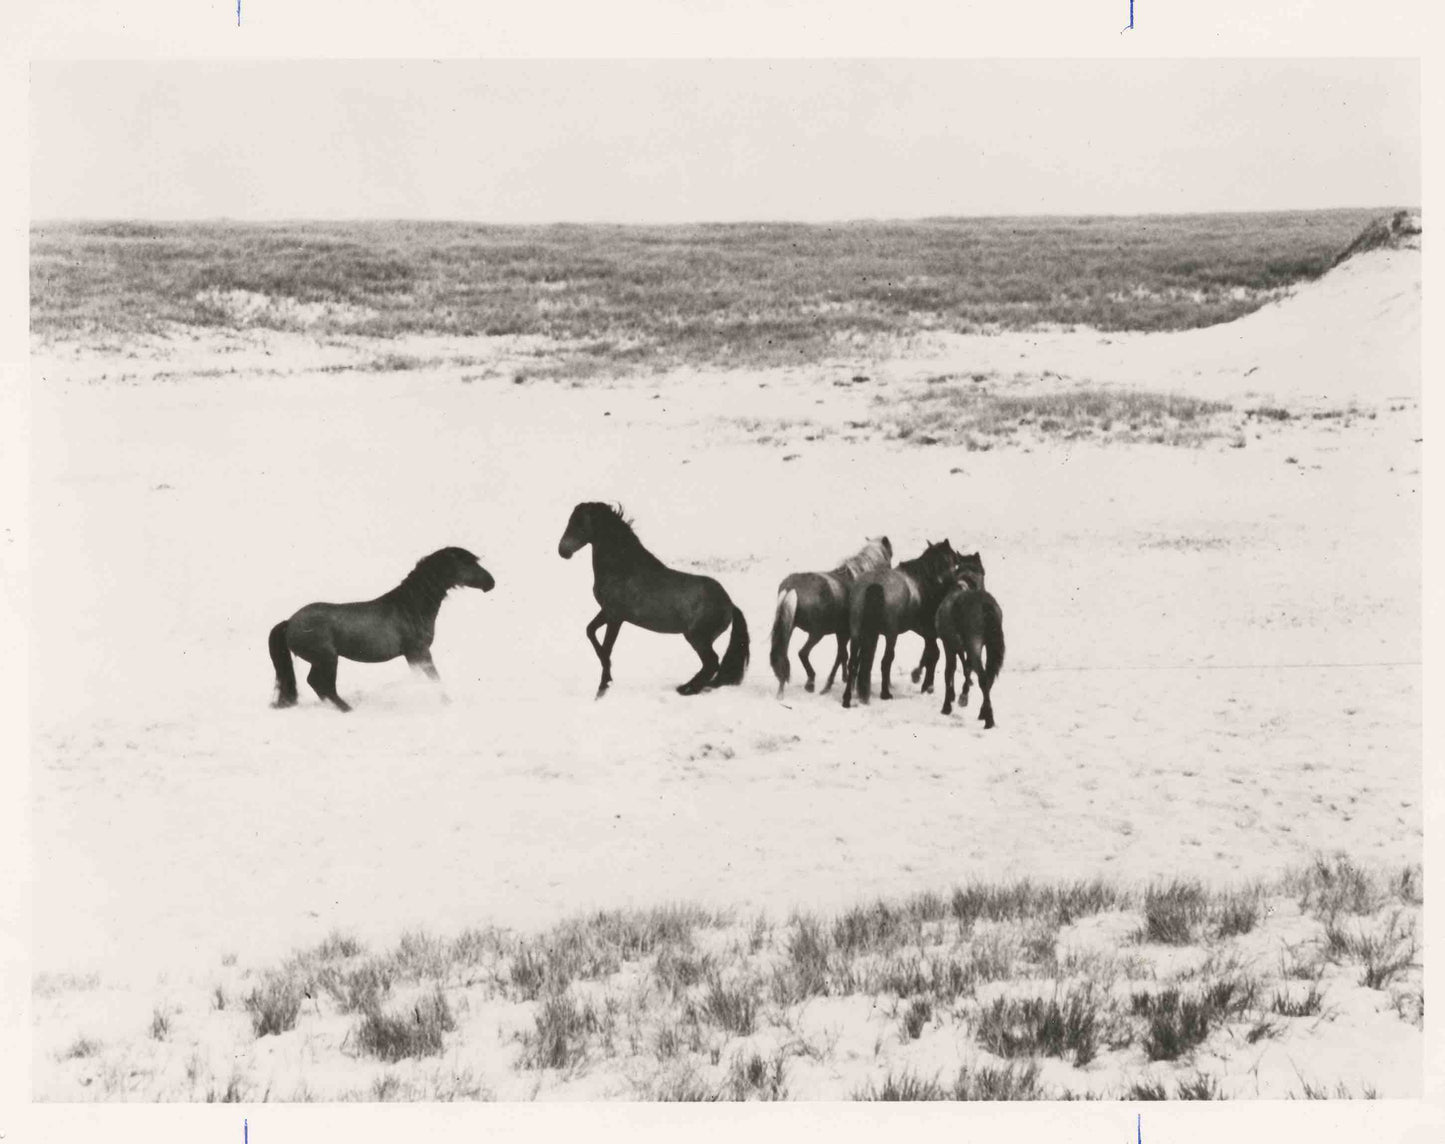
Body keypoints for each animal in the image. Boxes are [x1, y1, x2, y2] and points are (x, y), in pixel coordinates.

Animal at [268, 547, 494, 712]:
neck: (409, 607)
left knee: (319, 685)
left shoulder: (412, 655)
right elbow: (433, 678)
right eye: (469, 563)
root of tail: (290, 622)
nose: (491, 583)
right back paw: (347, 709)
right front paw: (445, 703)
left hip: (323, 660)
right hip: (326, 659)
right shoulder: (419, 652)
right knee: (320, 684)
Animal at [558, 502, 750, 697]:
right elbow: (591, 632)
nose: (563, 551)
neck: (622, 567)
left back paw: (687, 689)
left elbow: (607, 648)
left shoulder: (615, 617)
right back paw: (687, 687)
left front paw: (603, 686)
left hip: (697, 638)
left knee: (712, 663)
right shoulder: (606, 612)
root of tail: (730, 604)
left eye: (580, 523)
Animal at [769, 536, 892, 697]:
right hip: (816, 633)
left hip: (788, 627)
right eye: (889, 560)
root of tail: (791, 587)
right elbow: (842, 655)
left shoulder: (841, 633)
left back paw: (782, 690)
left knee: (783, 655)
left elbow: (844, 655)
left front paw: (845, 678)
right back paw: (810, 683)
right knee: (802, 653)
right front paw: (834, 684)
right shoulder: (847, 633)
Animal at [841, 539, 962, 708]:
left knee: (853, 661)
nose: (953, 583)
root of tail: (874, 585)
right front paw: (926, 684)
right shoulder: (928, 632)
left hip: (857, 631)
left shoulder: (926, 633)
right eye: (953, 561)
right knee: (886, 660)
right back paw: (885, 693)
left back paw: (848, 697)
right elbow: (932, 654)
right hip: (891, 634)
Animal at [935, 582, 1006, 728]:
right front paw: (962, 696)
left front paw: (947, 706)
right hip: (985, 645)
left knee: (983, 677)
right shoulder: (962, 647)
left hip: (974, 643)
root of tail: (985, 605)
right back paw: (983, 713)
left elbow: (949, 671)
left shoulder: (948, 645)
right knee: (988, 677)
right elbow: (966, 667)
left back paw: (989, 720)